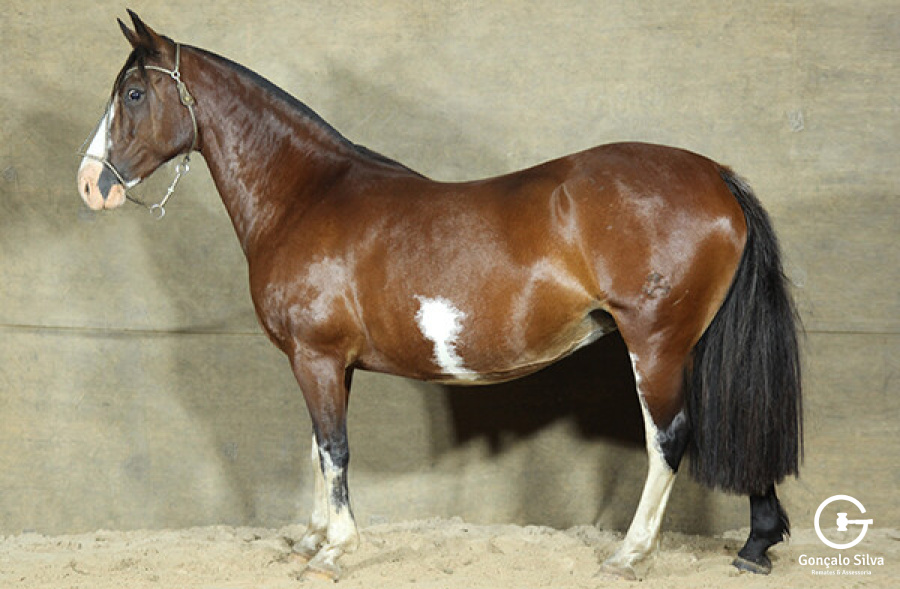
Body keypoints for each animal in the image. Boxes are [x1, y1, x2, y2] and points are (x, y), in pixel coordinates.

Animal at [77, 11, 802, 581]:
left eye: (134, 92)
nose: (90, 184)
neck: (307, 194)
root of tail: (716, 176)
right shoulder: (328, 363)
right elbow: (319, 447)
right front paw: (310, 538)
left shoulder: (315, 357)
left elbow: (334, 449)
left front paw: (334, 550)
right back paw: (756, 543)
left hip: (655, 344)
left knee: (668, 438)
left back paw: (630, 555)